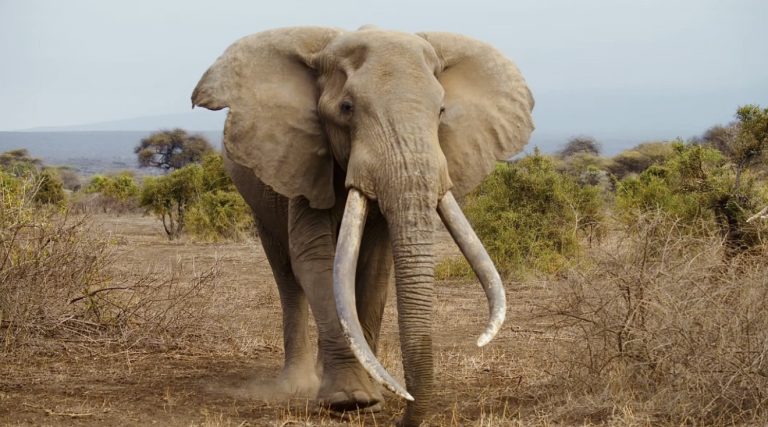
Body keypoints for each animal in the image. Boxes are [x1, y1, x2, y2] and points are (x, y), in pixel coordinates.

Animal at [192, 26, 534, 426]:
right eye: (346, 108)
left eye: (441, 111)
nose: (406, 405)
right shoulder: (304, 159)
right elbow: (315, 260)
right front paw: (350, 401)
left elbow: (373, 268)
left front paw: (371, 401)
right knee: (286, 273)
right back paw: (297, 385)